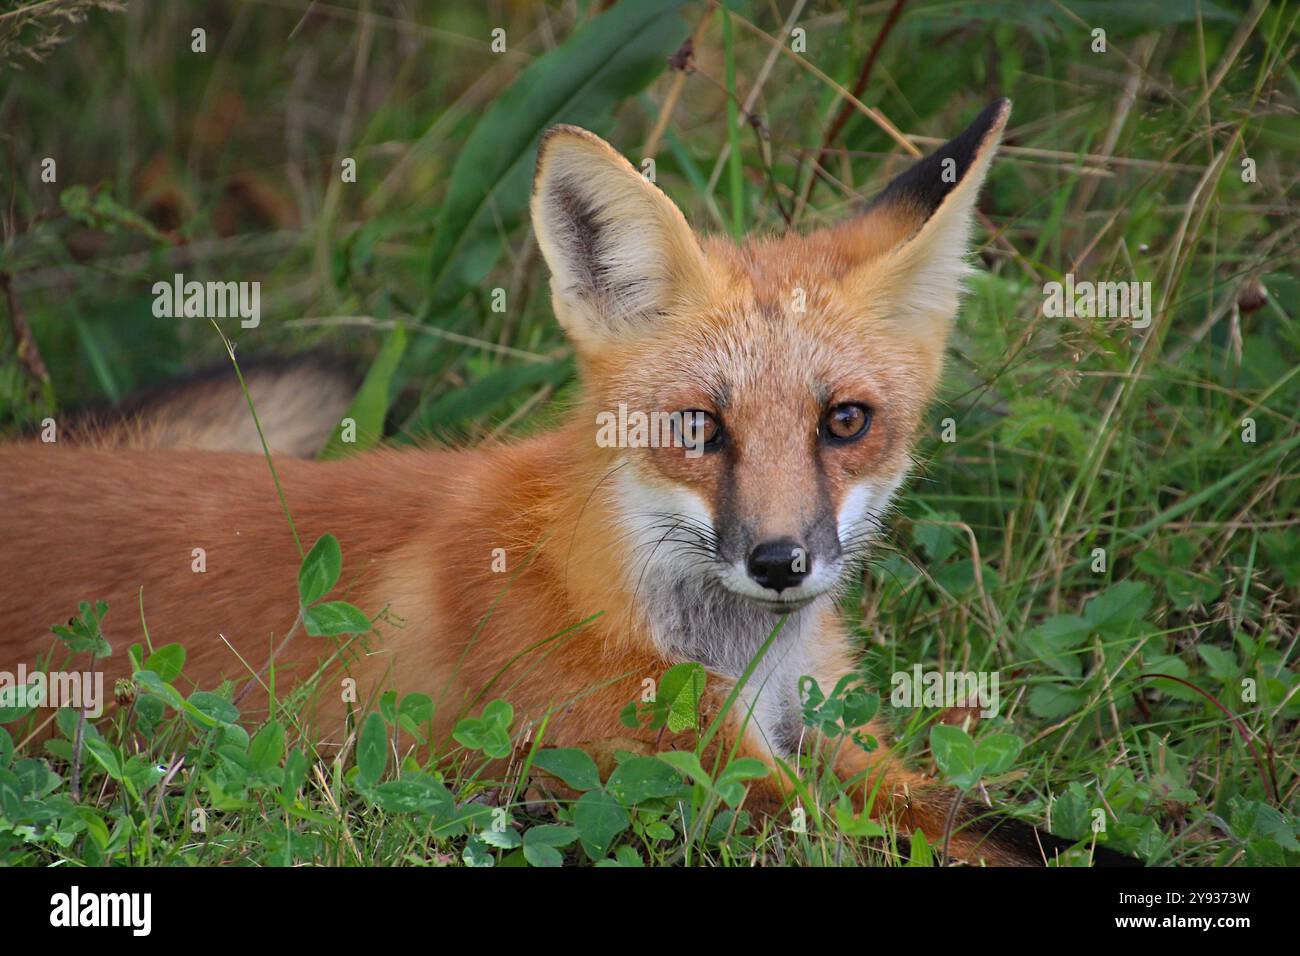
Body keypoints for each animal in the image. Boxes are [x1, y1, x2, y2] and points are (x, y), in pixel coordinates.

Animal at [0, 98, 1136, 866]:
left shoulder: (822, 738)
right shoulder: (687, 779)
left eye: (844, 422)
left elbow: (1008, 827)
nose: (780, 563)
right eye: (698, 427)